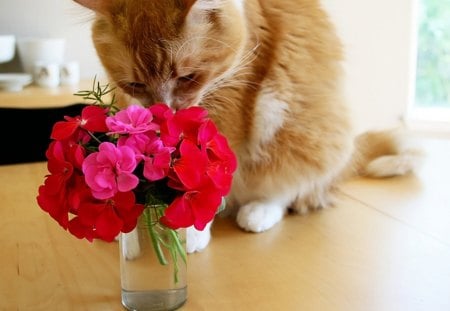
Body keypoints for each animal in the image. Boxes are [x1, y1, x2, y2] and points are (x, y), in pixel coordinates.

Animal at [73, 0, 422, 254]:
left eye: (188, 77)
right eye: (135, 83)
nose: (164, 111)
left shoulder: (233, 104)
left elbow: (206, 179)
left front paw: (190, 232)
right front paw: (130, 232)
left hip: (296, 127)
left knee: (288, 187)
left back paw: (258, 212)